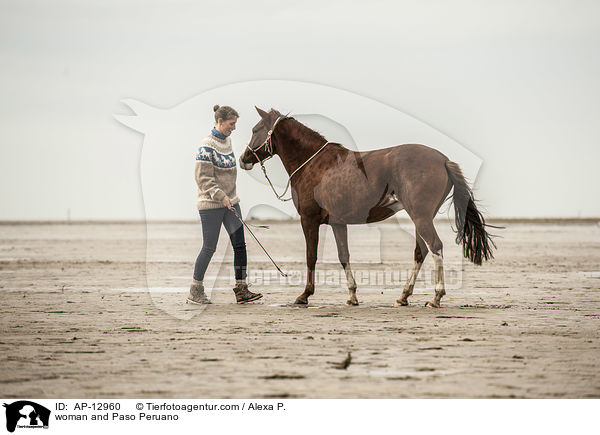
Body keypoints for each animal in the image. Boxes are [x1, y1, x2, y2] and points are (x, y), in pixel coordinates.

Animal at [239, 107, 496, 308]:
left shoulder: (308, 220)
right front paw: (352, 295)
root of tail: (443, 160)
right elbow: (344, 256)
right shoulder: (337, 223)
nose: (243, 159)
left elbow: (311, 256)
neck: (314, 163)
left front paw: (304, 295)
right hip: (422, 218)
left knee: (435, 247)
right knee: (421, 251)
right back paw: (404, 296)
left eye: (255, 130)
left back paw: (436, 297)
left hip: (420, 217)